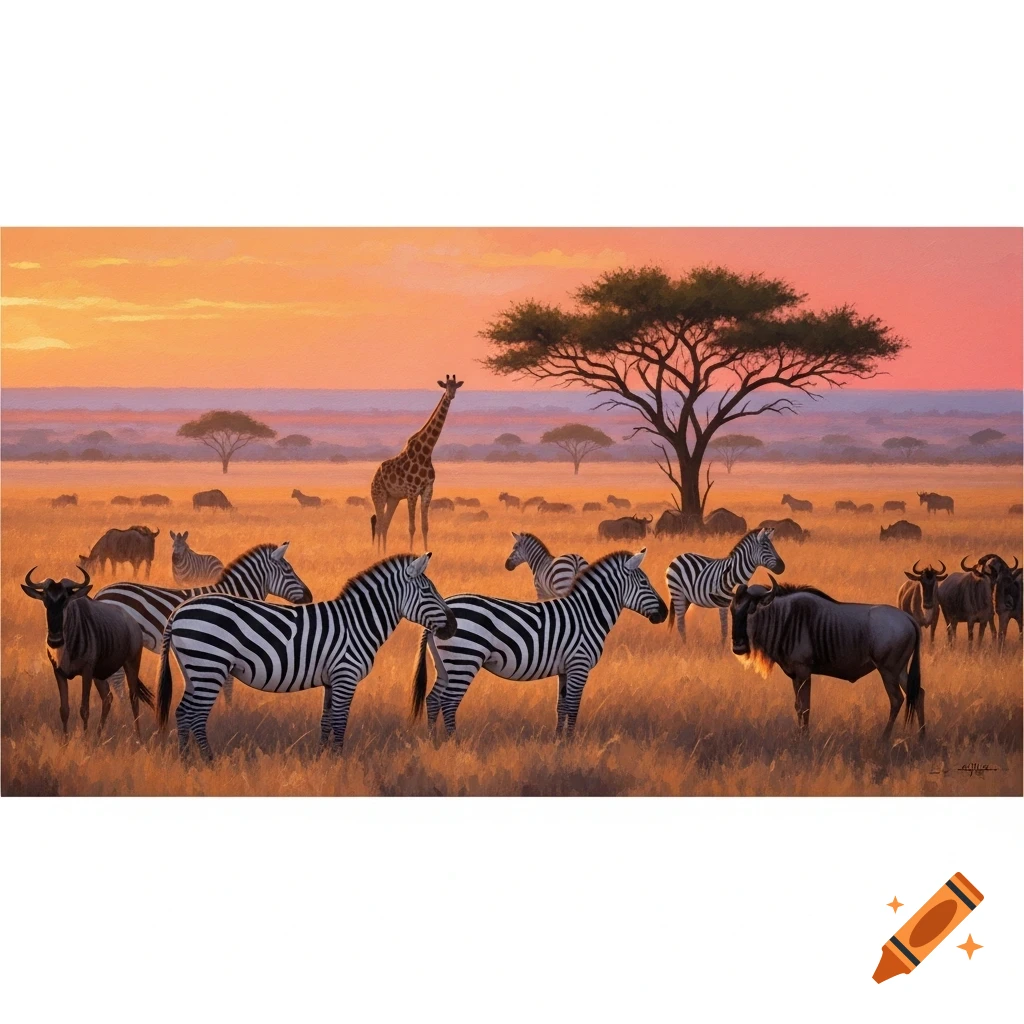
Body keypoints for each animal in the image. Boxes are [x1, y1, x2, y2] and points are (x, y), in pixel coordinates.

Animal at [95, 542, 312, 702]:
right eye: (288, 570)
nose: (310, 596)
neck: (233, 593)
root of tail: (99, 594)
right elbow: (228, 684)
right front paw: (229, 710)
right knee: (116, 679)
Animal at [158, 553, 455, 759]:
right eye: (427, 591)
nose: (453, 626)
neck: (357, 622)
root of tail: (179, 611)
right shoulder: (345, 675)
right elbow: (340, 721)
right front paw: (339, 761)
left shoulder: (331, 680)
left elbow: (326, 721)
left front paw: (323, 758)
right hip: (209, 665)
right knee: (196, 716)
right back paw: (208, 761)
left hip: (194, 669)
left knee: (183, 712)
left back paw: (186, 761)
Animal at [369, 375, 463, 553]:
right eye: (445, 386)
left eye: (455, 386)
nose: (451, 395)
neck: (426, 452)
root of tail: (374, 476)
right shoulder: (412, 491)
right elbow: (411, 527)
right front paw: (411, 551)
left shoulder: (428, 489)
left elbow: (425, 526)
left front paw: (427, 549)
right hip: (379, 495)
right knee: (378, 525)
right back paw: (377, 552)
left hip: (393, 498)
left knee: (385, 525)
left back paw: (384, 551)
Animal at [411, 549, 667, 738]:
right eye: (645, 582)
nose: (665, 613)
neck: (587, 614)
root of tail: (442, 612)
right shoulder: (579, 664)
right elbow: (573, 706)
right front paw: (571, 744)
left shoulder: (565, 669)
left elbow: (561, 706)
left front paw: (558, 743)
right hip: (464, 659)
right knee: (448, 702)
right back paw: (454, 743)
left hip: (446, 664)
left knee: (433, 700)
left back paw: (434, 742)